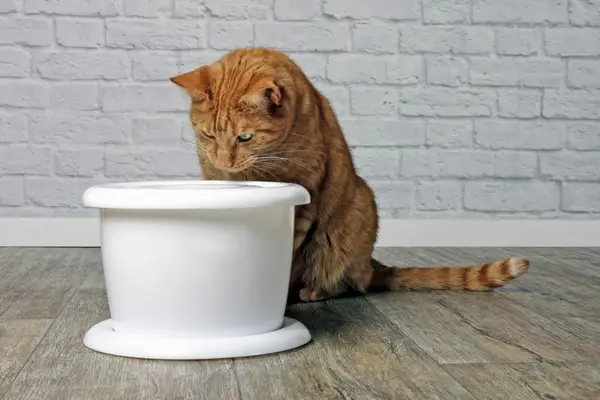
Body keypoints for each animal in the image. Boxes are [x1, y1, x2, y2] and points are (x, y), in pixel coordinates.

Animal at [170, 48, 528, 302]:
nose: (225, 161)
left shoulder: (305, 198)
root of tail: (371, 263)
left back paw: (314, 290)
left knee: (353, 284)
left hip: (357, 209)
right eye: (209, 136)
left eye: (244, 137)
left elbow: (288, 253)